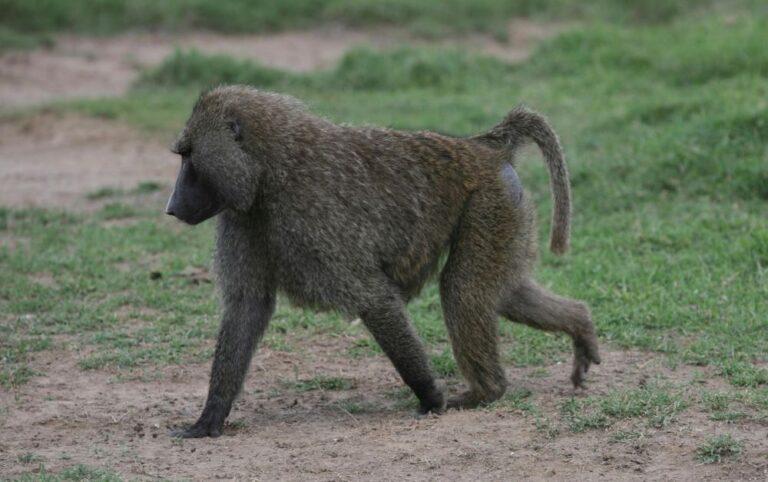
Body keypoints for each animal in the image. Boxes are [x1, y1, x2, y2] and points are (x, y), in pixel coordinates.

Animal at [165, 85, 600, 438]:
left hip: (491, 203)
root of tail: (483, 148)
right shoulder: (243, 218)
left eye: (189, 158)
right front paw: (210, 418)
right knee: (504, 292)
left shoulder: (314, 215)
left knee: (462, 291)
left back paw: (485, 393)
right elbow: (247, 307)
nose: (171, 207)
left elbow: (372, 298)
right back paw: (579, 325)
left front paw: (431, 396)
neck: (272, 168)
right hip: (508, 209)